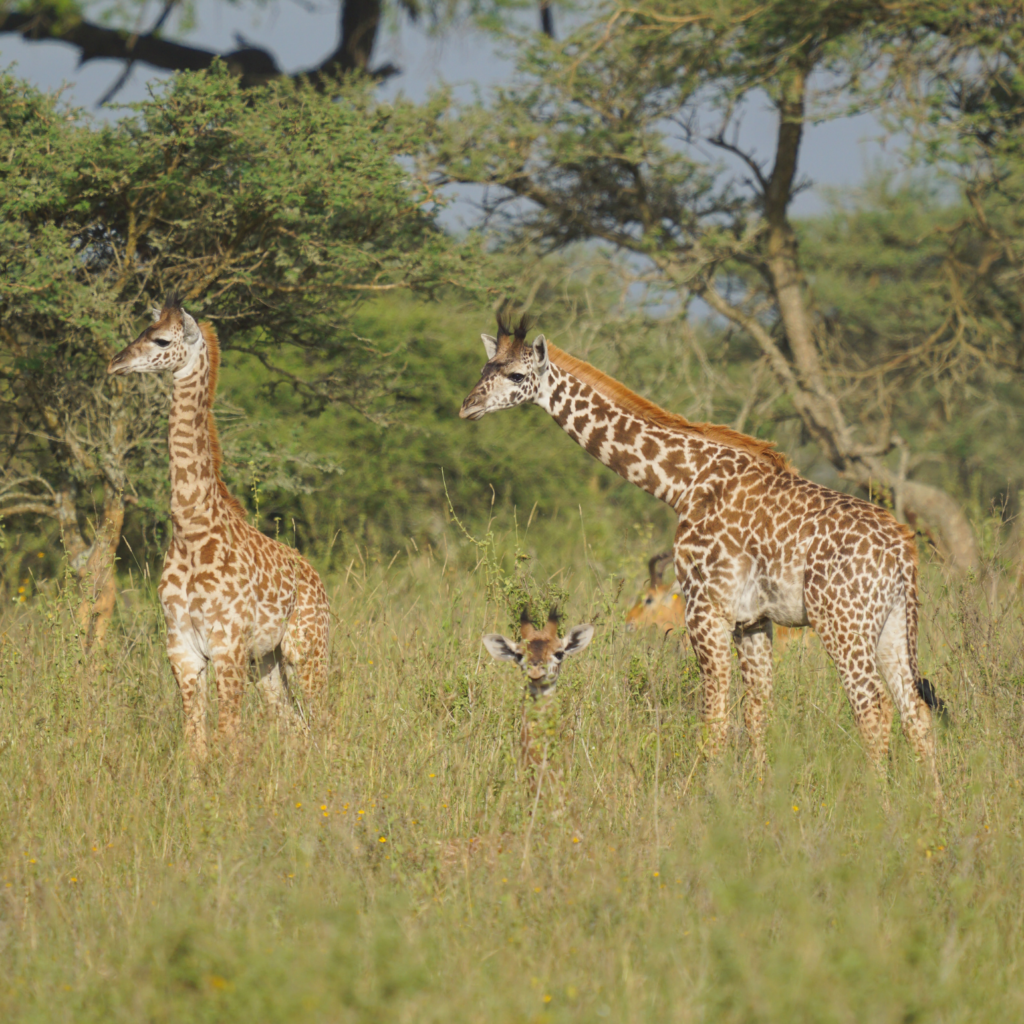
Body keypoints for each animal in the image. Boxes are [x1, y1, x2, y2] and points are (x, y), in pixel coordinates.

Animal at [107, 292, 327, 757]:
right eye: (142, 330)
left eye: (160, 339)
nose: (116, 363)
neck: (192, 529)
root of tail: (318, 579)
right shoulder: (183, 648)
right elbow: (195, 741)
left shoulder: (227, 645)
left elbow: (229, 737)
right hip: (266, 661)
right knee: (296, 725)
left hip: (307, 647)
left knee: (326, 721)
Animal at [464, 307, 942, 786]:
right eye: (485, 368)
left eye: (517, 374)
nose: (467, 405)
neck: (683, 483)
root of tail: (904, 552)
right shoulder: (752, 621)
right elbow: (756, 714)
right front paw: (759, 791)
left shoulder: (706, 608)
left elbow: (713, 717)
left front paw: (707, 792)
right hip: (891, 625)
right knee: (915, 711)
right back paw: (931, 802)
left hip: (842, 624)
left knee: (873, 710)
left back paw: (878, 798)